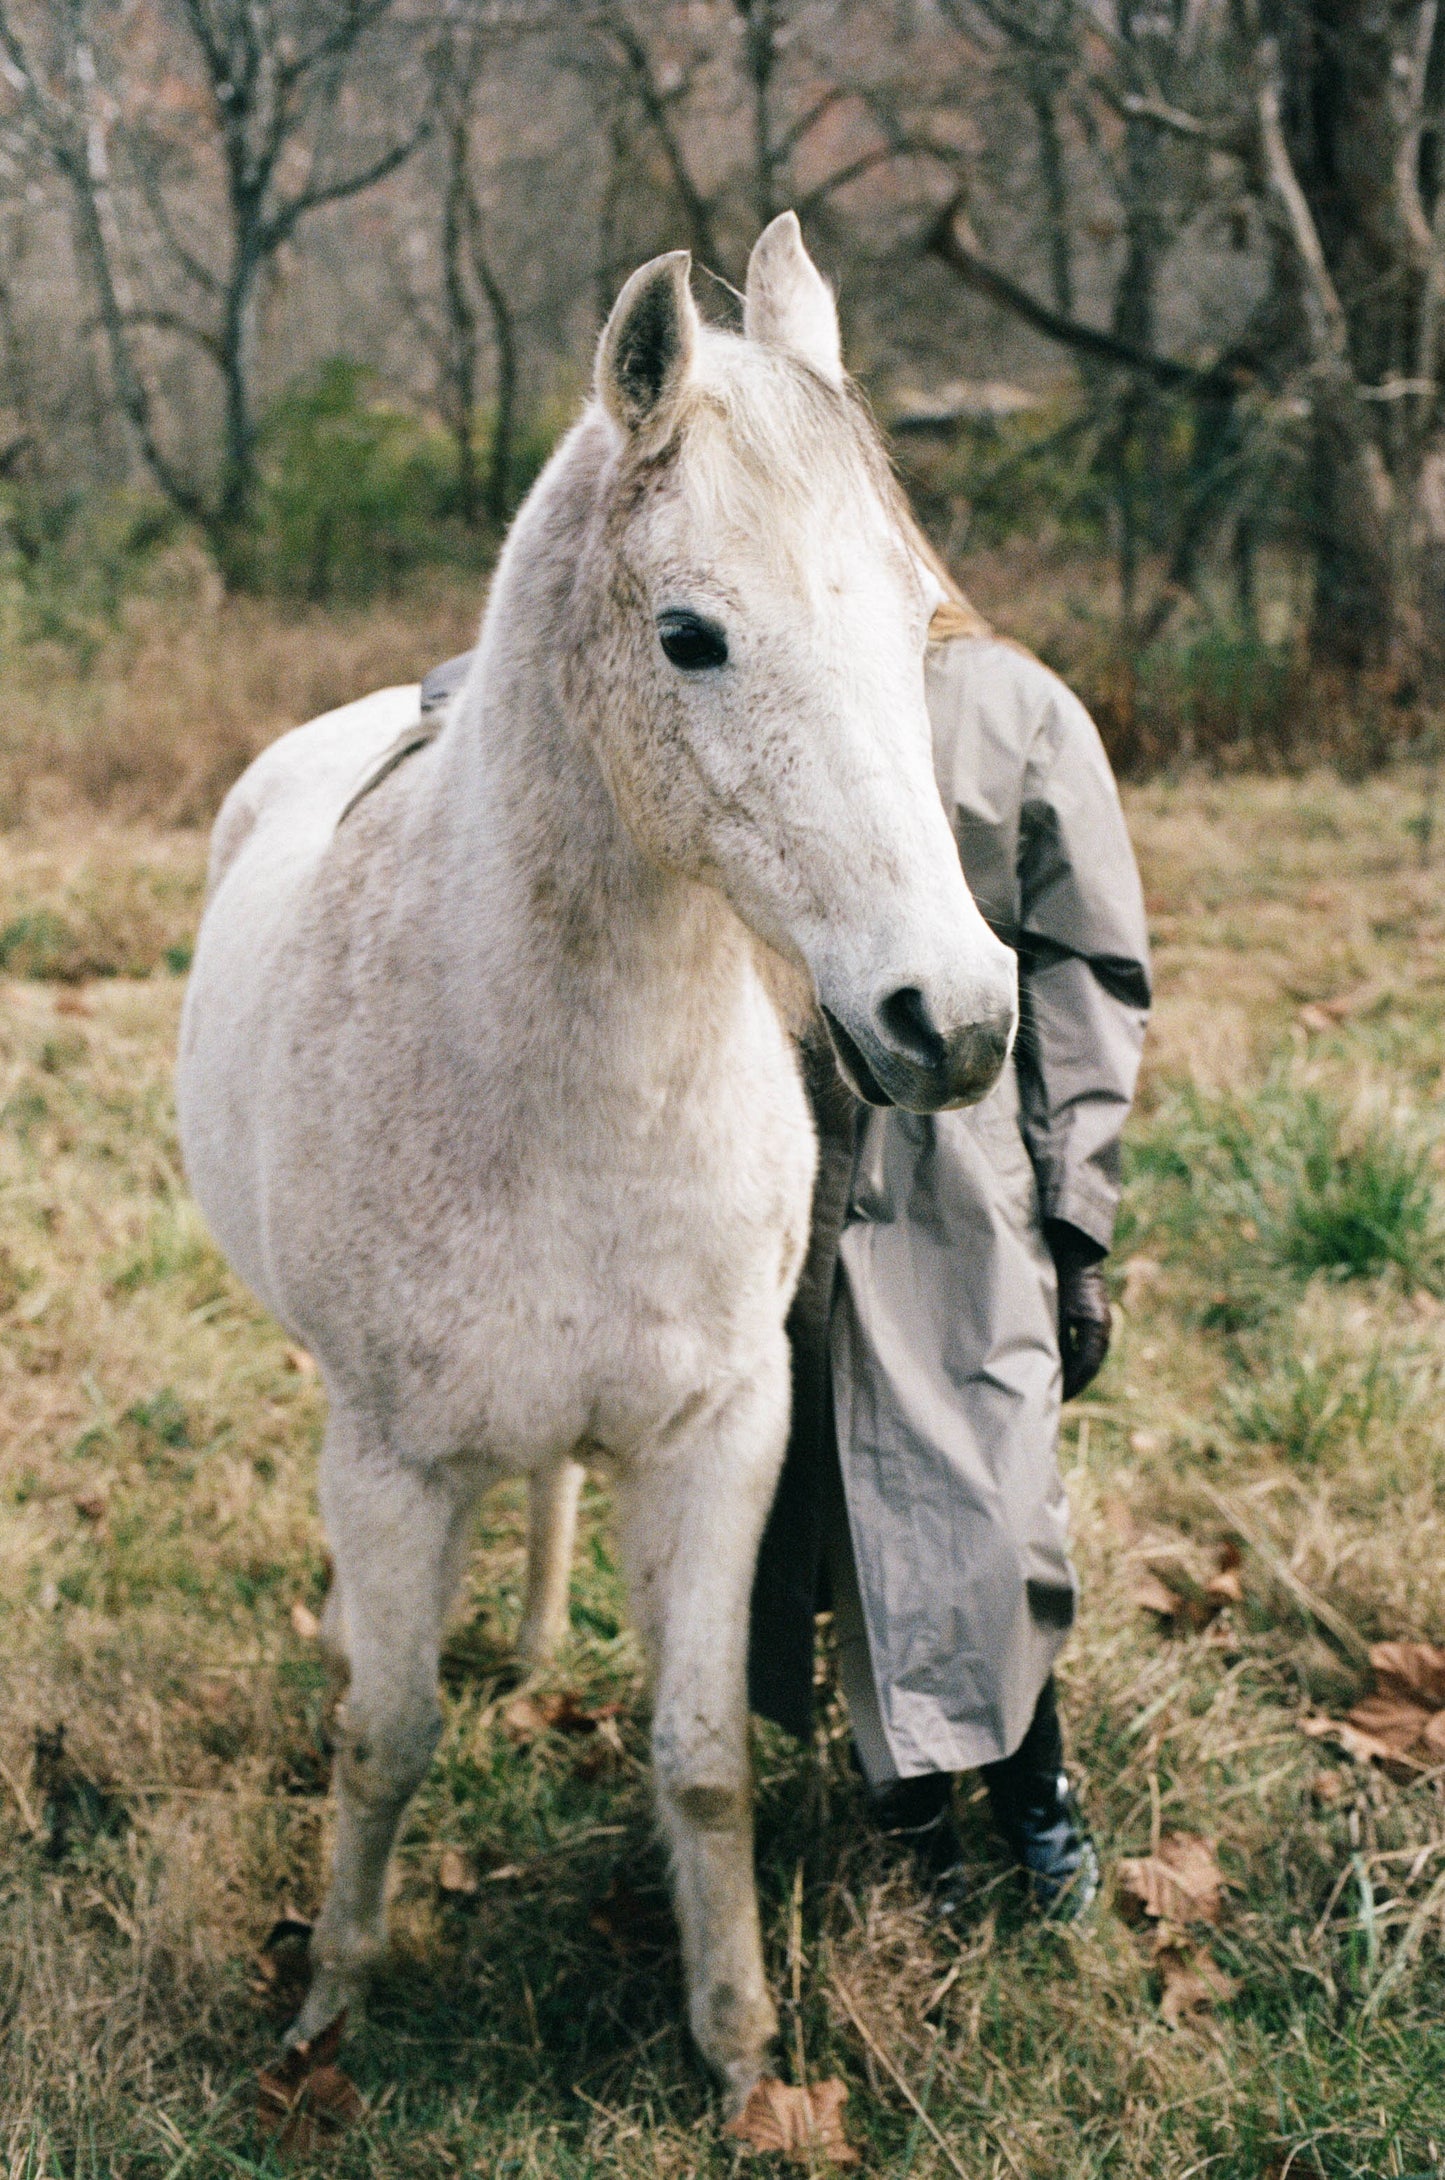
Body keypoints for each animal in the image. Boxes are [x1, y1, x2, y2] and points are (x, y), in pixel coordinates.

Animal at [177, 221, 1015, 2110]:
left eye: (918, 622)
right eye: (691, 635)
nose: (954, 1015)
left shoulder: (718, 1436)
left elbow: (699, 1757)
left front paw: (741, 2056)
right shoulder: (391, 1463)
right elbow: (384, 1736)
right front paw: (327, 2008)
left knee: (554, 1484)